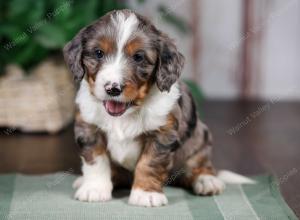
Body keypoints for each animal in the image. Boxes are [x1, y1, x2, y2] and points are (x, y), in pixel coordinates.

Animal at [63, 9, 225, 208]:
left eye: (138, 57)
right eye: (98, 53)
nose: (113, 89)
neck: (127, 113)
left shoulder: (162, 134)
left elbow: (149, 164)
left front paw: (146, 194)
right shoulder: (89, 128)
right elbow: (96, 161)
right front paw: (94, 189)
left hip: (199, 139)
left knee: (199, 165)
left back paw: (207, 181)